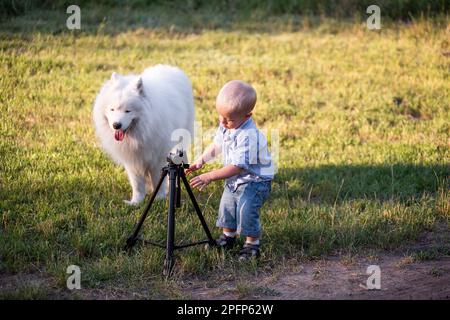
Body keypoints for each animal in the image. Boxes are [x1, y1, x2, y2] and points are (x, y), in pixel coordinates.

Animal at [93, 65, 193, 205]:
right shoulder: (132, 160)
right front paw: (136, 202)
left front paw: (159, 198)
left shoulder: (157, 158)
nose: (116, 125)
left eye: (128, 111)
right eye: (112, 109)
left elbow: (157, 179)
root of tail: (171, 67)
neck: (140, 133)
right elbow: (137, 183)